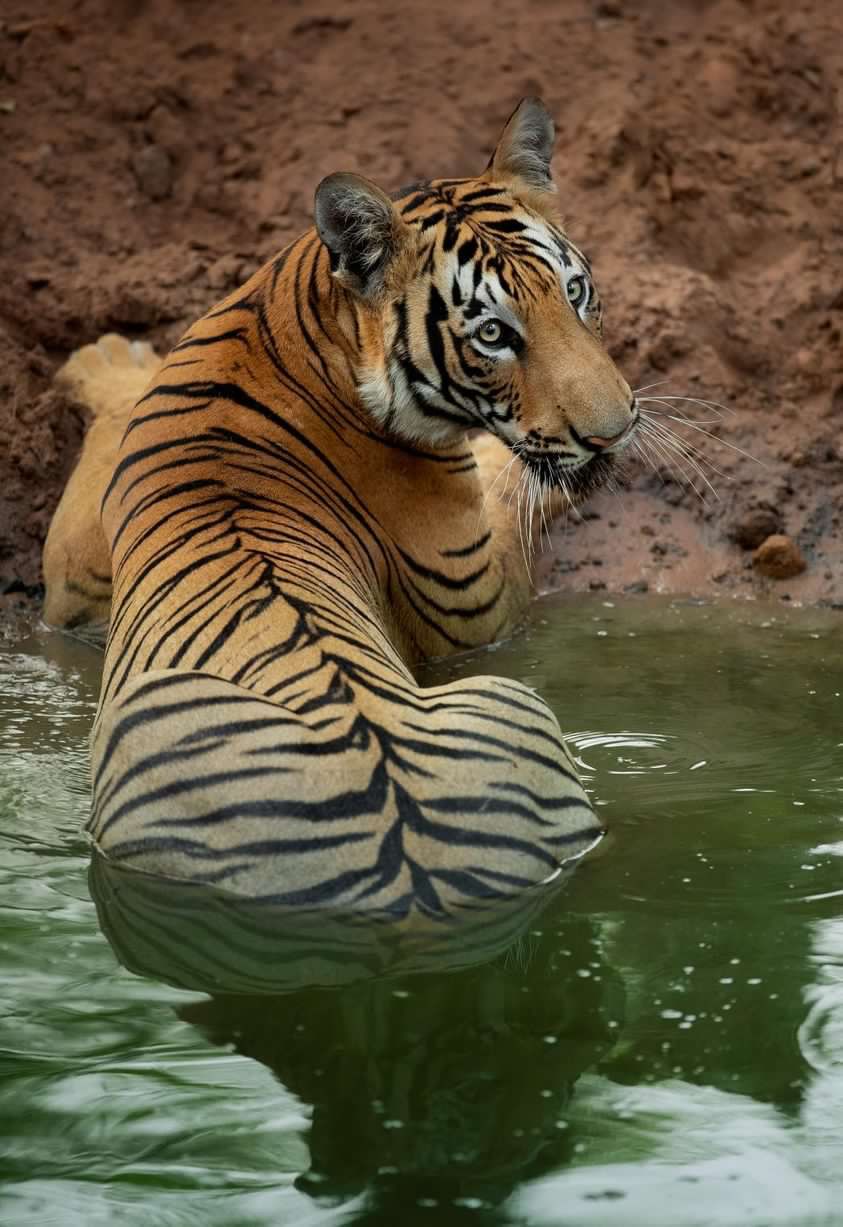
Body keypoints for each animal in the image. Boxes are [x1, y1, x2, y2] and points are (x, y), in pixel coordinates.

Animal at [42, 100, 638, 917]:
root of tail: (405, 868)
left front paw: (108, 358)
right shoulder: (474, 602)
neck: (284, 316)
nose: (617, 431)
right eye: (493, 335)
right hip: (505, 695)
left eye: (574, 294)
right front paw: (111, 354)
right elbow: (512, 481)